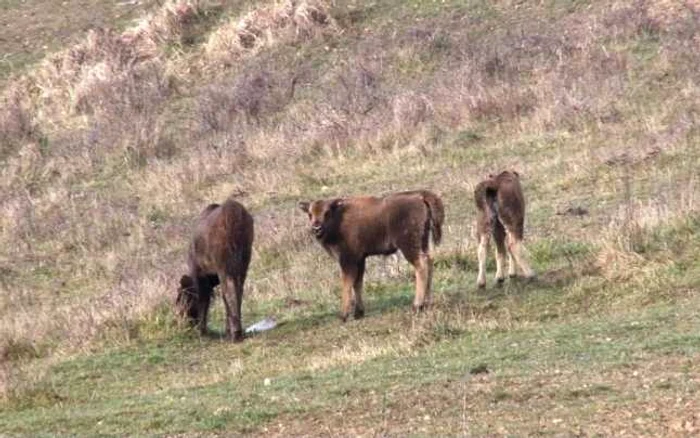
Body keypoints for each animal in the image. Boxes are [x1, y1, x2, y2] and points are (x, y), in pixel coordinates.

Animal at [176, 198, 253, 342]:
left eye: (181, 299)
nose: (183, 323)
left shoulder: (200, 274)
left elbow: (204, 299)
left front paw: (202, 330)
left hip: (225, 264)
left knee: (229, 290)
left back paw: (235, 333)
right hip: (244, 259)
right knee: (238, 289)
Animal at [300, 190, 442, 320]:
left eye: (327, 212)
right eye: (310, 214)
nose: (316, 228)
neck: (338, 219)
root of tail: (419, 196)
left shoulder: (348, 260)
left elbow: (347, 283)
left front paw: (344, 315)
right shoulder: (360, 259)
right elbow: (357, 283)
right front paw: (358, 313)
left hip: (409, 246)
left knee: (421, 266)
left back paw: (416, 306)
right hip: (423, 241)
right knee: (429, 261)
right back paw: (426, 303)